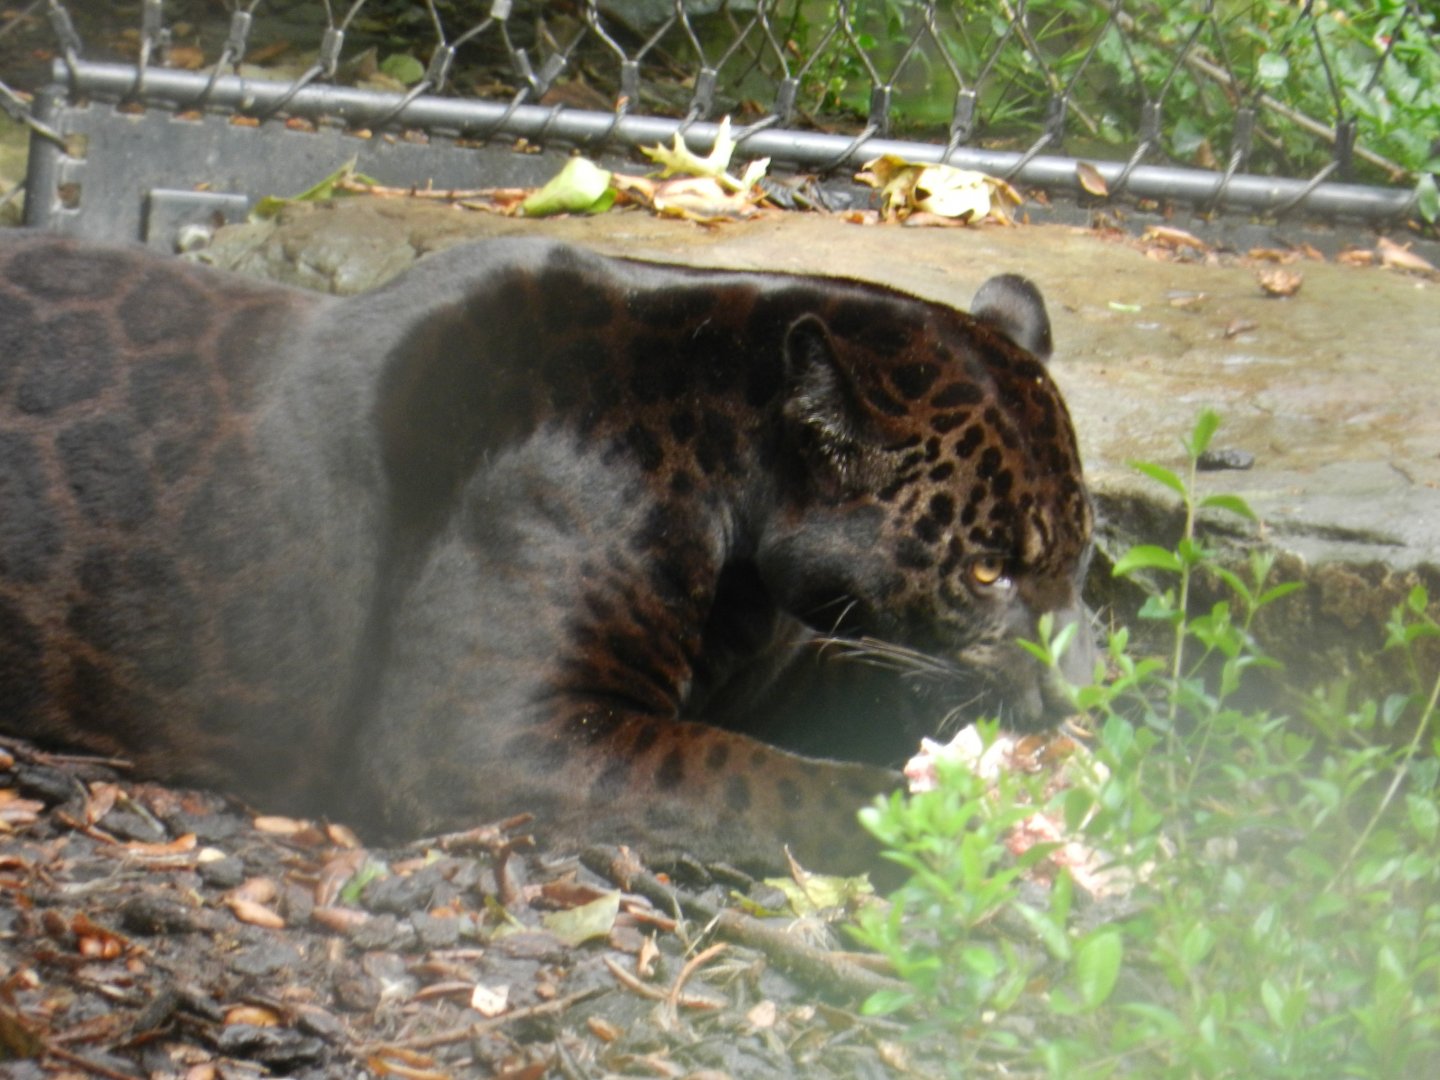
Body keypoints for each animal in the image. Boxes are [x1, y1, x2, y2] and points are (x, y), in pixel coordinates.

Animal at [0, 231, 1092, 874]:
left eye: (1081, 560)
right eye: (987, 569)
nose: (1075, 688)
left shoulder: (771, 672)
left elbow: (870, 690)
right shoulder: (484, 731)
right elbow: (755, 777)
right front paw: (961, 828)